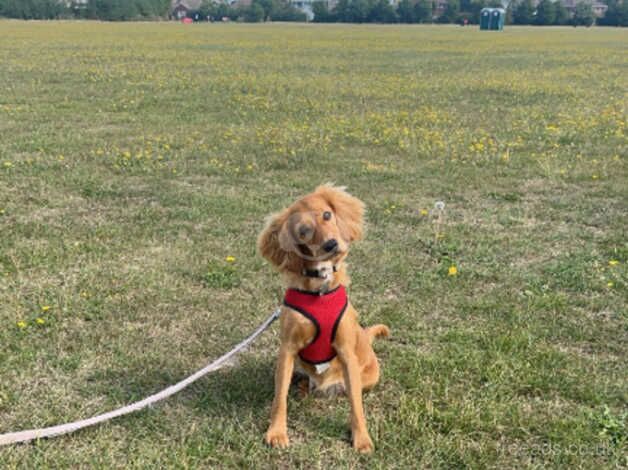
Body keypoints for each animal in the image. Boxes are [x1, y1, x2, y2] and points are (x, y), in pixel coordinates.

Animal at [258, 184, 390, 452]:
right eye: (303, 232)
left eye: (327, 215)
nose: (331, 244)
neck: (320, 289)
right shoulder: (287, 349)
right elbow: (279, 397)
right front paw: (276, 432)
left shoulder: (346, 352)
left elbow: (357, 406)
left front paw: (362, 438)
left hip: (368, 376)